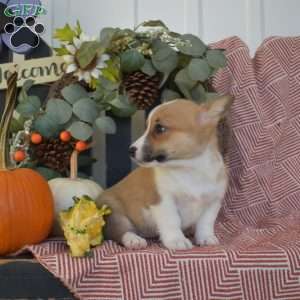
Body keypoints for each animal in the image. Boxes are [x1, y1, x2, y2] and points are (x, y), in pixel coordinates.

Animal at [96, 95, 232, 250]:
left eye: (160, 128)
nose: (130, 150)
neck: (190, 168)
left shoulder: (213, 202)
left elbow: (206, 223)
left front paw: (205, 238)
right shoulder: (163, 201)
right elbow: (172, 221)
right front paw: (176, 240)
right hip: (116, 216)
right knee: (121, 232)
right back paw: (134, 240)